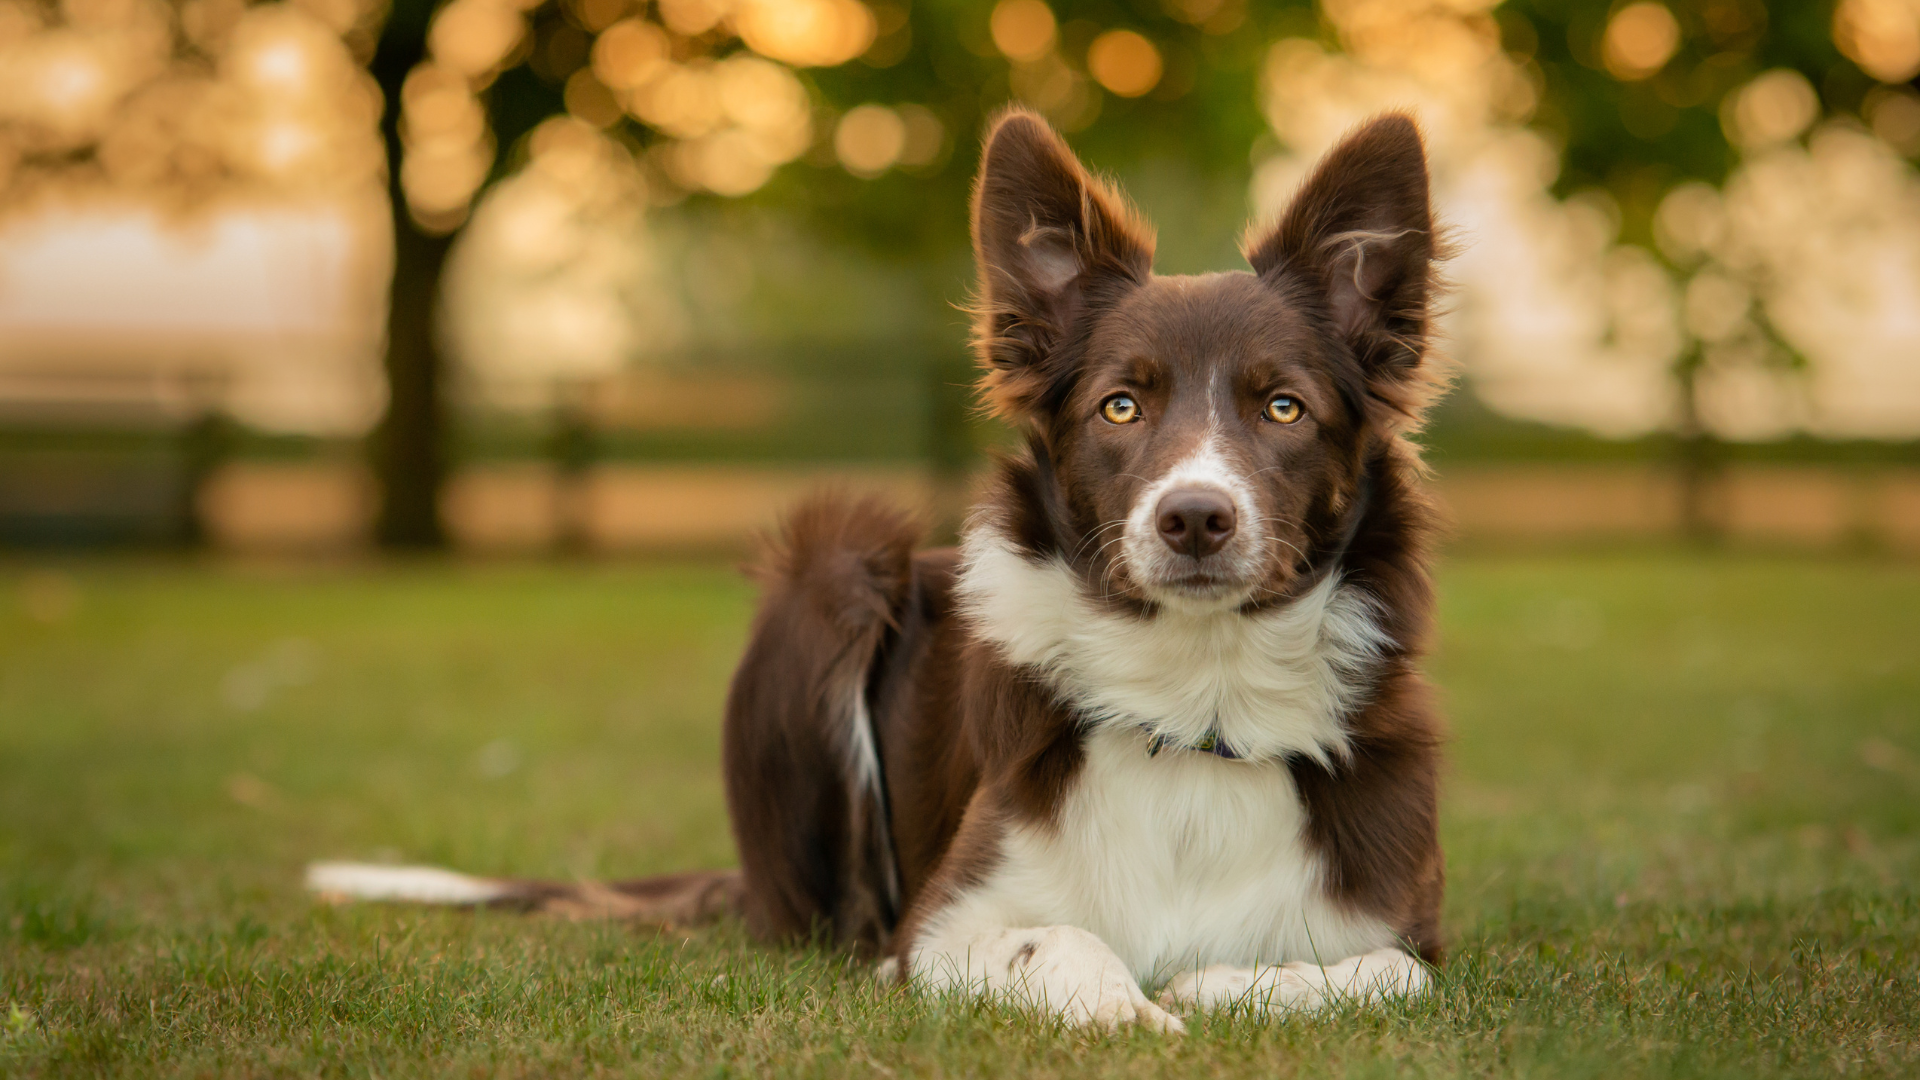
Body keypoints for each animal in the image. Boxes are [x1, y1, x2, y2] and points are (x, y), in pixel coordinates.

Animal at [307, 107, 1443, 1022]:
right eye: (1121, 405)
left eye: (1283, 406)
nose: (1195, 518)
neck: (1197, 701)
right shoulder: (935, 932)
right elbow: (1058, 941)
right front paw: (1141, 1011)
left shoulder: (1414, 927)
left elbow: (1383, 972)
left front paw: (1220, 986)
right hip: (835, 572)